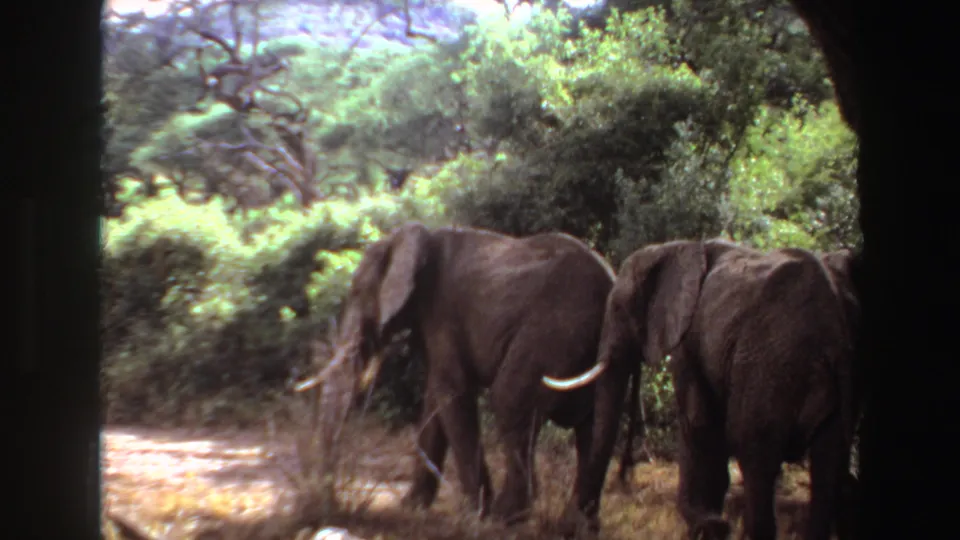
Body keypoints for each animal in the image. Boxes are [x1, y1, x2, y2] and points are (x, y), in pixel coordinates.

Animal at [293, 221, 622, 525]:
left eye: (358, 292)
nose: (330, 504)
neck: (413, 237)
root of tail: (609, 283)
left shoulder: (442, 313)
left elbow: (452, 393)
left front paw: (475, 513)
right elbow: (434, 401)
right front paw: (411, 506)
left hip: (553, 331)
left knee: (509, 399)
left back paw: (504, 516)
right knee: (593, 426)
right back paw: (578, 524)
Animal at [542, 239, 862, 540]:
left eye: (619, 308)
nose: (582, 524)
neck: (676, 248)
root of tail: (834, 333)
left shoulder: (689, 338)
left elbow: (698, 421)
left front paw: (707, 523)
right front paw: (710, 523)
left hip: (771, 365)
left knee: (754, 449)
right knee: (828, 465)